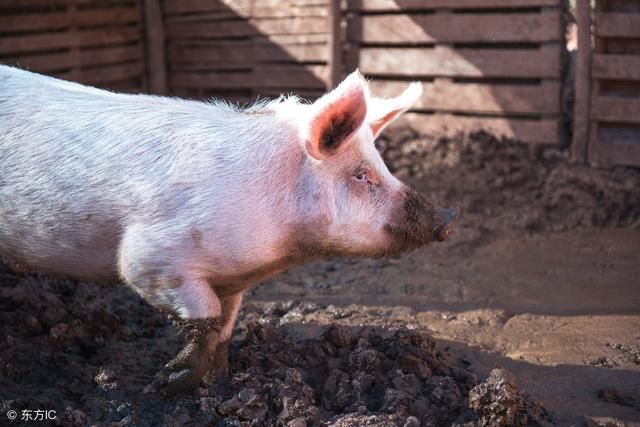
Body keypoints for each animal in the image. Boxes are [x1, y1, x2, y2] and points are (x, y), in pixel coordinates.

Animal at [1, 65, 460, 396]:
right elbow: (202, 317)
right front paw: (167, 384)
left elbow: (224, 329)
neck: (280, 247)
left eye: (381, 166)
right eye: (361, 175)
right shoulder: (151, 259)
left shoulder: (233, 281)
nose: (448, 217)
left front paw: (219, 383)